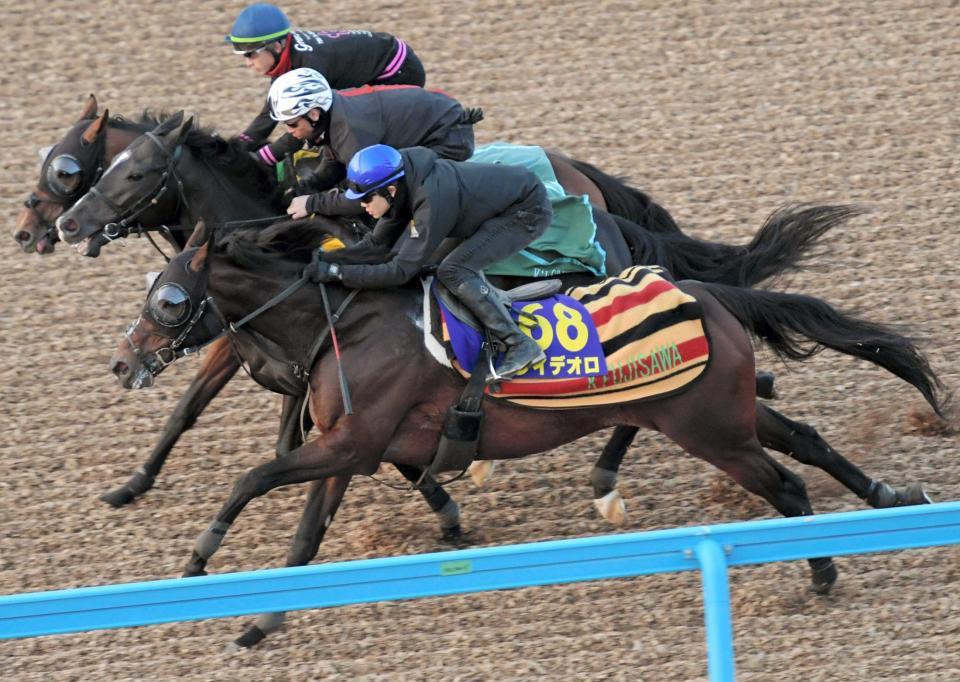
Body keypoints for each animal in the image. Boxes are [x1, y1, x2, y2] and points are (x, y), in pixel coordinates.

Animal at [51, 110, 846, 524]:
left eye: (133, 173)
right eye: (87, 171)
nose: (63, 224)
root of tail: (593, 193)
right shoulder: (265, 355)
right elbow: (192, 409)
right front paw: (131, 486)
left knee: (641, 383)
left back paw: (607, 485)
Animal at [105, 216, 945, 648]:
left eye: (169, 298)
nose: (123, 361)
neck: (344, 323)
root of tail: (708, 293)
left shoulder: (351, 443)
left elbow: (252, 478)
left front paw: (200, 559)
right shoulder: (349, 449)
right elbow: (307, 535)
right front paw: (263, 619)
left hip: (712, 430)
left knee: (787, 480)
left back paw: (822, 571)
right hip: (724, 414)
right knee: (804, 440)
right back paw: (887, 496)